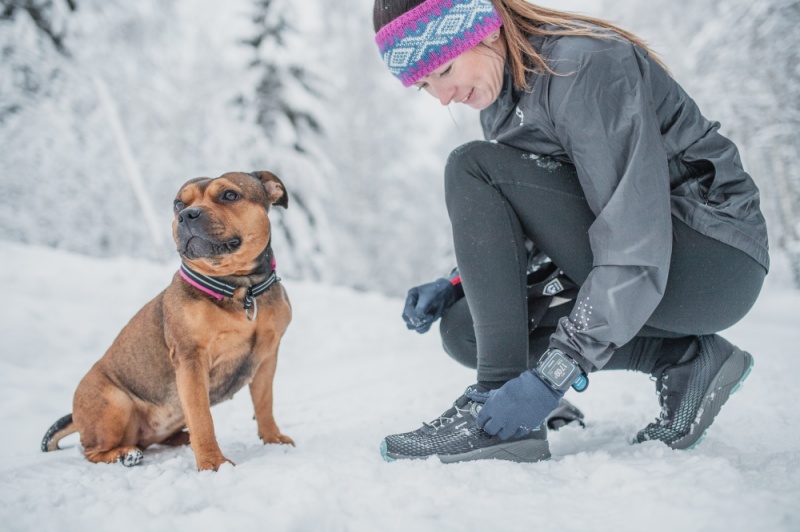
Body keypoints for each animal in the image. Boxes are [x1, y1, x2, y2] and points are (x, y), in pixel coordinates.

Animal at [39, 170, 294, 470]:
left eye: (230, 195)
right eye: (178, 204)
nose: (187, 215)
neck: (240, 287)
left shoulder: (267, 358)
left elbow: (264, 403)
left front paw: (273, 439)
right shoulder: (191, 360)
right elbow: (201, 417)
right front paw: (213, 463)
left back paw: (181, 438)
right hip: (115, 402)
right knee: (92, 451)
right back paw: (125, 454)